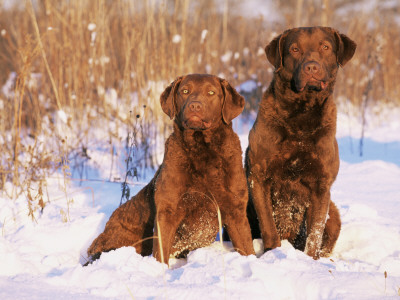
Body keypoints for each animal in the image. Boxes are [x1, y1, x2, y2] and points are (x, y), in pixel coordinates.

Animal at [88, 73, 256, 264]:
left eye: (211, 92)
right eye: (185, 91)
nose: (195, 105)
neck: (202, 151)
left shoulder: (236, 209)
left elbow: (247, 248)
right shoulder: (167, 209)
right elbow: (160, 252)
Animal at [247, 27, 356, 258]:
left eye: (325, 46)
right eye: (295, 49)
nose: (311, 67)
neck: (301, 115)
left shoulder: (321, 185)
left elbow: (314, 233)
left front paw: (310, 261)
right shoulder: (258, 176)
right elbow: (268, 225)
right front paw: (273, 253)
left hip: (334, 213)